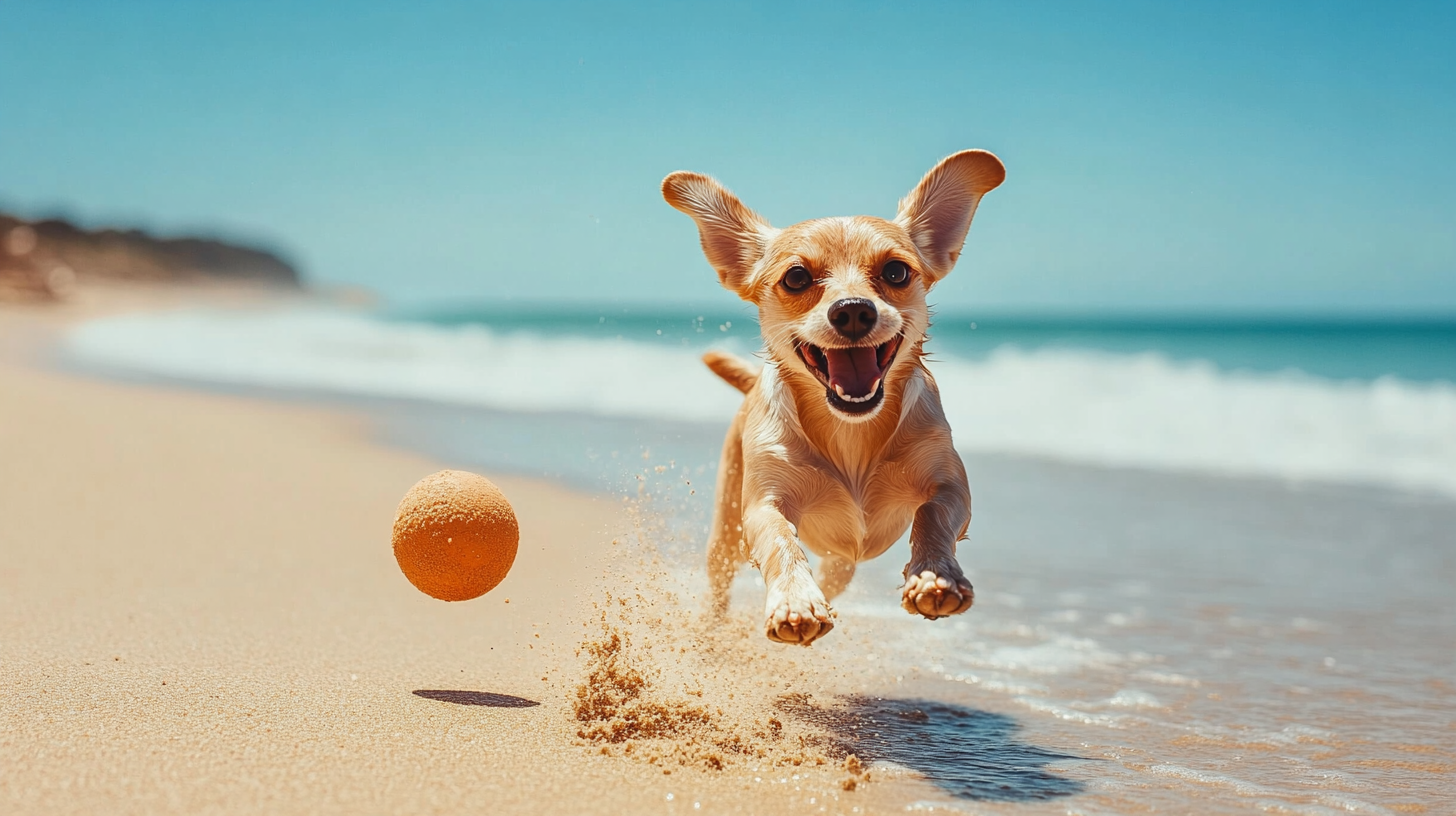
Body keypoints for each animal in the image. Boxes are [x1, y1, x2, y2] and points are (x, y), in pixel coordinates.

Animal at [666, 147, 1007, 644]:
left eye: (896, 271)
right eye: (796, 278)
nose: (852, 311)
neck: (851, 432)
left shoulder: (950, 484)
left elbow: (932, 515)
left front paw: (933, 576)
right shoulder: (763, 504)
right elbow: (781, 542)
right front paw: (794, 600)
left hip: (842, 563)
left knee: (834, 573)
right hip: (726, 530)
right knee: (720, 582)